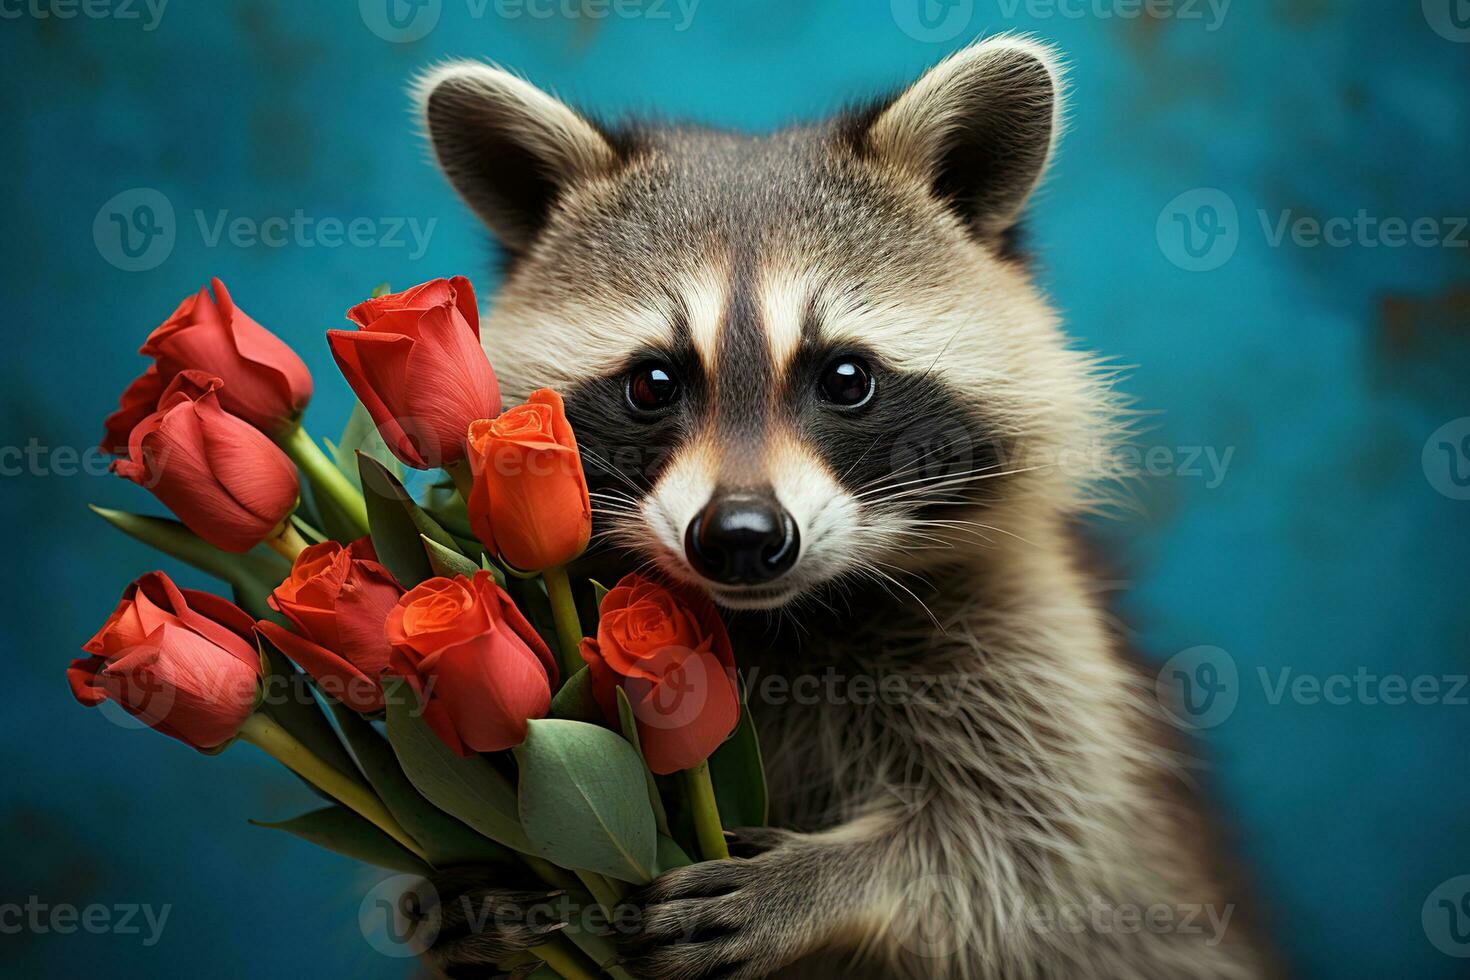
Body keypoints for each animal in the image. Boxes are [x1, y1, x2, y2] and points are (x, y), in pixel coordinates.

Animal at [405, 34, 1275, 975]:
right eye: (653, 383)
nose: (741, 537)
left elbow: (1031, 852)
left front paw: (830, 880)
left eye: (847, 378)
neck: (774, 620)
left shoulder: (1032, 641)